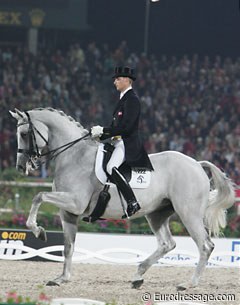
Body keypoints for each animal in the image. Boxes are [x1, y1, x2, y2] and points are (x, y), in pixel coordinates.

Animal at [10, 108, 235, 288]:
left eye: (24, 134)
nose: (21, 167)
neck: (74, 156)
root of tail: (197, 164)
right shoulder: (69, 212)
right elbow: (67, 247)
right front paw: (61, 278)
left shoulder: (74, 202)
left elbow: (38, 196)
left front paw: (38, 231)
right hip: (157, 214)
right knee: (167, 244)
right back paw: (138, 275)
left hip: (189, 213)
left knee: (205, 246)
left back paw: (189, 284)